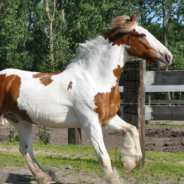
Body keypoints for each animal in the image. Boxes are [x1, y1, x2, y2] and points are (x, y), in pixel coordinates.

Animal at [0, 11, 172, 184]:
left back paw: (45, 176)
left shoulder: (108, 119)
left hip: (22, 121)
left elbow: (133, 129)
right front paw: (114, 178)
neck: (94, 78)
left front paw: (129, 163)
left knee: (25, 149)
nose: (168, 56)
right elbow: (103, 156)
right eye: (142, 34)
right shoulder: (90, 122)